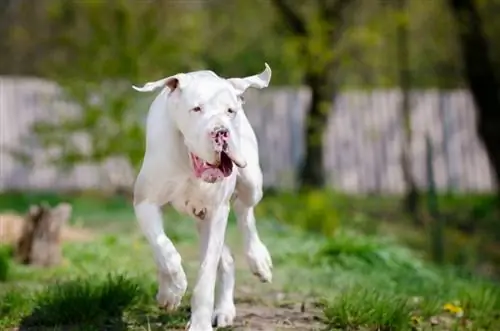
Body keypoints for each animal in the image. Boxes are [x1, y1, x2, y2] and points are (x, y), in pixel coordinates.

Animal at [133, 63, 274, 330]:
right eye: (197, 109)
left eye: (230, 111)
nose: (221, 132)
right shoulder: (145, 204)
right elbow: (164, 250)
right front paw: (172, 291)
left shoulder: (217, 212)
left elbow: (205, 277)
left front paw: (199, 324)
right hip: (199, 216)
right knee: (227, 258)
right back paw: (223, 308)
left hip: (251, 183)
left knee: (245, 213)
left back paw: (258, 260)